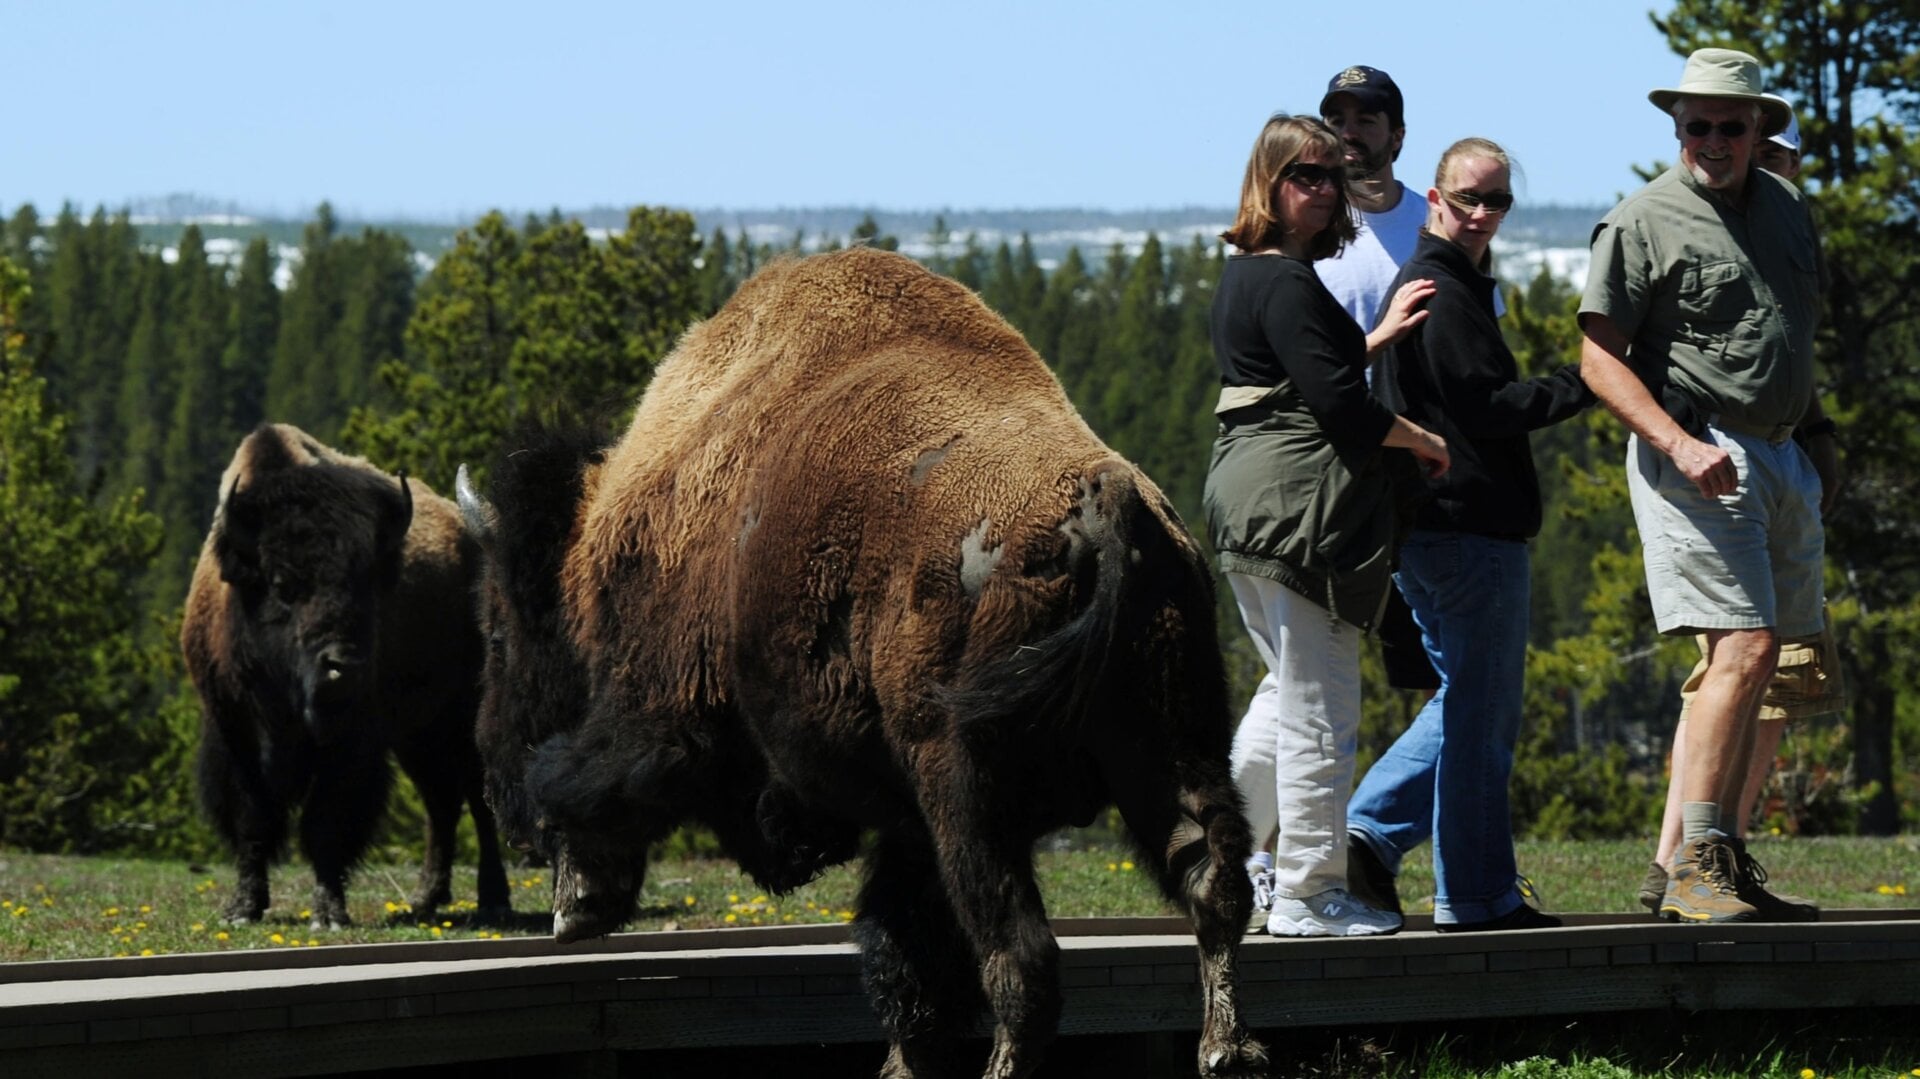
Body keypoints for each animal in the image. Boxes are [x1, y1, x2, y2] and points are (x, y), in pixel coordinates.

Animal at [182, 424, 509, 929]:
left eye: (367, 583)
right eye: (281, 584)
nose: (344, 666)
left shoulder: (353, 742)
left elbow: (327, 824)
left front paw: (329, 913)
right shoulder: (235, 733)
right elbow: (252, 819)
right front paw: (243, 908)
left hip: (460, 719)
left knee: (476, 799)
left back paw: (492, 900)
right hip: (417, 736)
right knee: (441, 803)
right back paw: (426, 898)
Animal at [459, 248, 1266, 1078]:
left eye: (499, 631)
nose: (500, 795)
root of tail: (1103, 501)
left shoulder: (662, 703)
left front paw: (576, 900)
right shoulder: (907, 824)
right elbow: (903, 943)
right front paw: (904, 1058)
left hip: (969, 789)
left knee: (1020, 954)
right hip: (1172, 742)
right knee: (1211, 884)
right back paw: (1225, 1050)